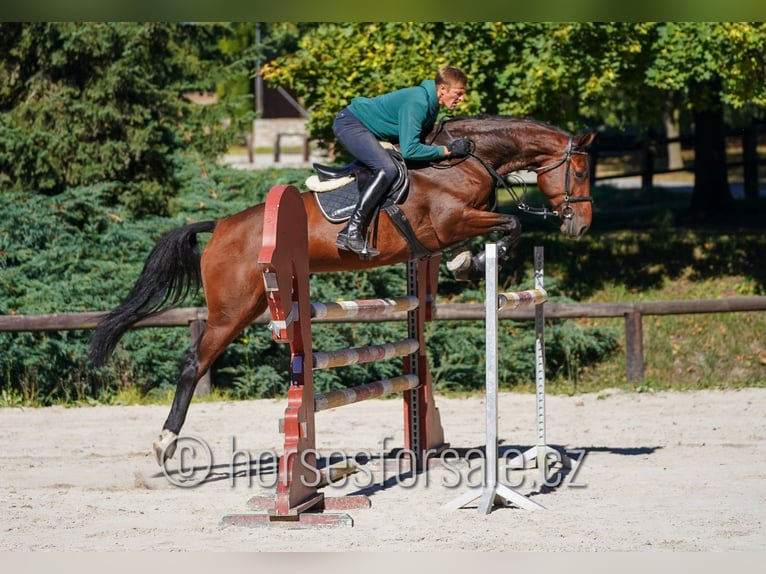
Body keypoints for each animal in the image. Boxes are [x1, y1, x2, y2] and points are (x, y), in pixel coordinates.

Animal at [88, 116, 592, 464]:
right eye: (582, 172)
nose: (581, 226)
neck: (462, 161)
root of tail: (221, 226)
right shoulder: (452, 223)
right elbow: (511, 225)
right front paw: (469, 262)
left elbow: (509, 226)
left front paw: (468, 262)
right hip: (231, 311)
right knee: (194, 363)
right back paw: (165, 443)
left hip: (247, 308)